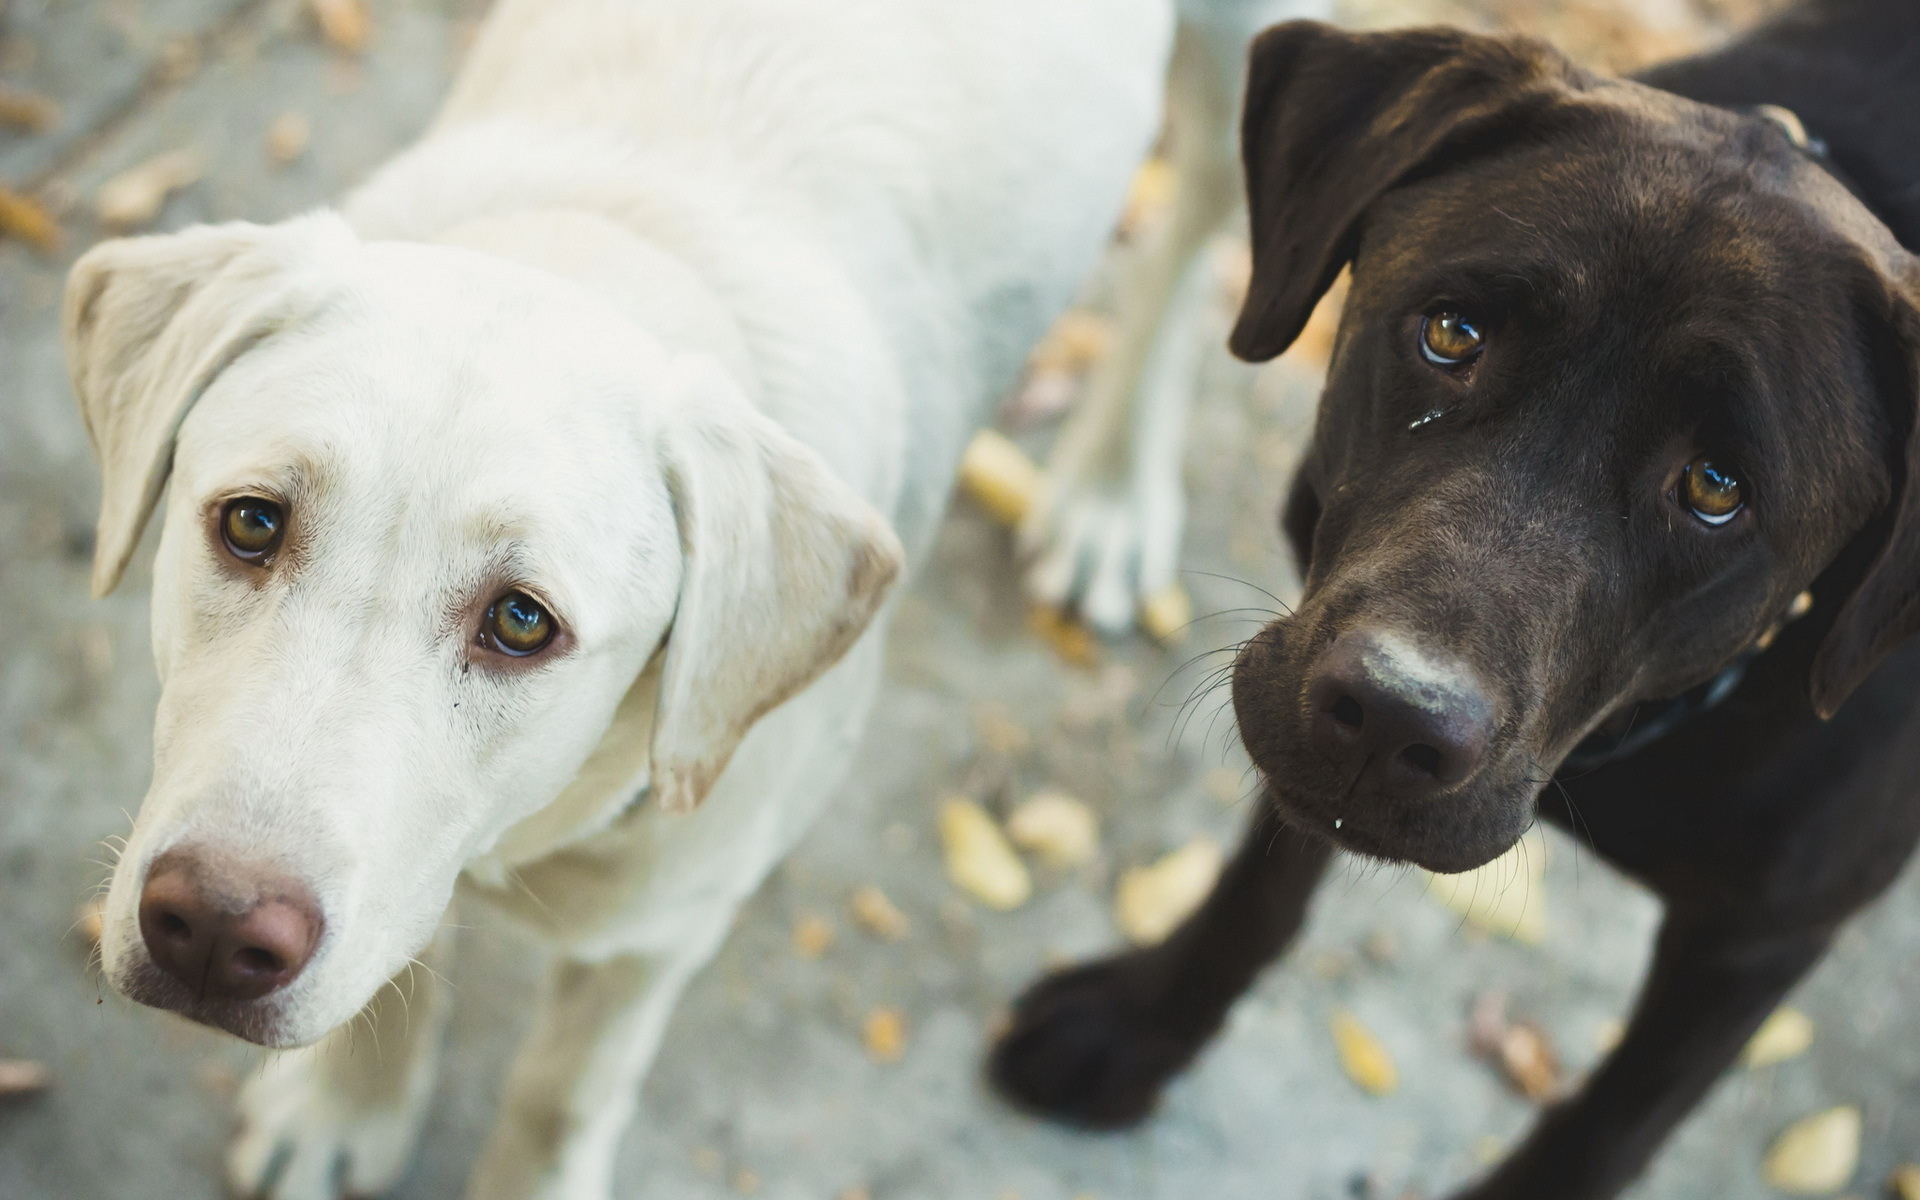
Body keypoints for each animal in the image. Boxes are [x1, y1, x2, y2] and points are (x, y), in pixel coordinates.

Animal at [74, 0, 1328, 1190]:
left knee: (1206, 226)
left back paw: (1111, 486)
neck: (615, 239)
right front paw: (347, 1112)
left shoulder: (662, 930)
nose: (211, 931)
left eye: (521, 622)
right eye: (251, 523)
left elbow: (559, 1096)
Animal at [990, 4, 1920, 1190]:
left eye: (1717, 488)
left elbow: (1613, 1125)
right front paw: (1139, 1026)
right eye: (1451, 334)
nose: (1396, 718)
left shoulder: (1760, 940)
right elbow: (1261, 888)